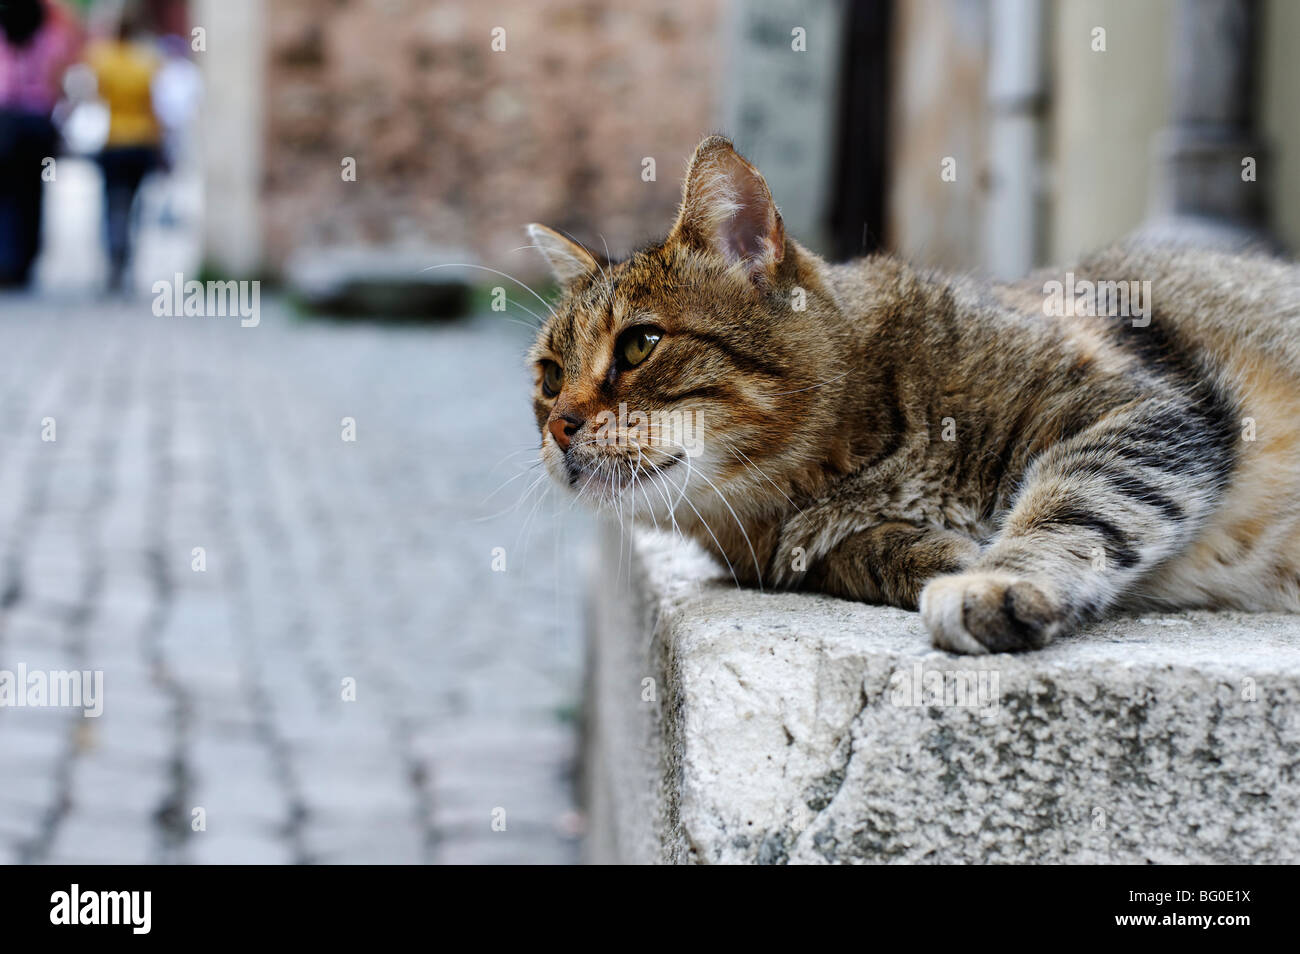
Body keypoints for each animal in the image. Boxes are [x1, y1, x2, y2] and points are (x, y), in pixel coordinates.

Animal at [525, 136, 1300, 657]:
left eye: (639, 345)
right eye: (549, 377)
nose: (560, 426)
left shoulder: (1139, 410)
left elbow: (1073, 504)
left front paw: (993, 579)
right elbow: (857, 554)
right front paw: (933, 552)